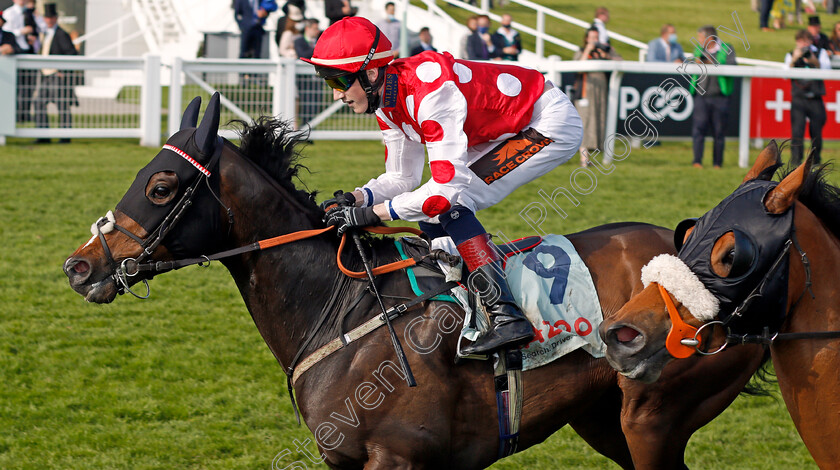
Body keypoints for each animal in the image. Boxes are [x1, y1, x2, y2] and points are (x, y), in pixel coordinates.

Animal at [62, 93, 764, 468]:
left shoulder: (398, 456)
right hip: (604, 419)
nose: (80, 265)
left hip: (653, 417)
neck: (341, 309)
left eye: (161, 186)